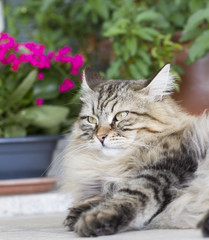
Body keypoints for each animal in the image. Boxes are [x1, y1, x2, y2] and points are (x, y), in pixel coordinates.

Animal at [62, 64, 209, 238]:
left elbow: (131, 193)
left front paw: (94, 218)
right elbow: (108, 193)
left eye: (121, 115)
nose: (100, 136)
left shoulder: (168, 166)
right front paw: (76, 213)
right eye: (91, 120)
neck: (118, 164)